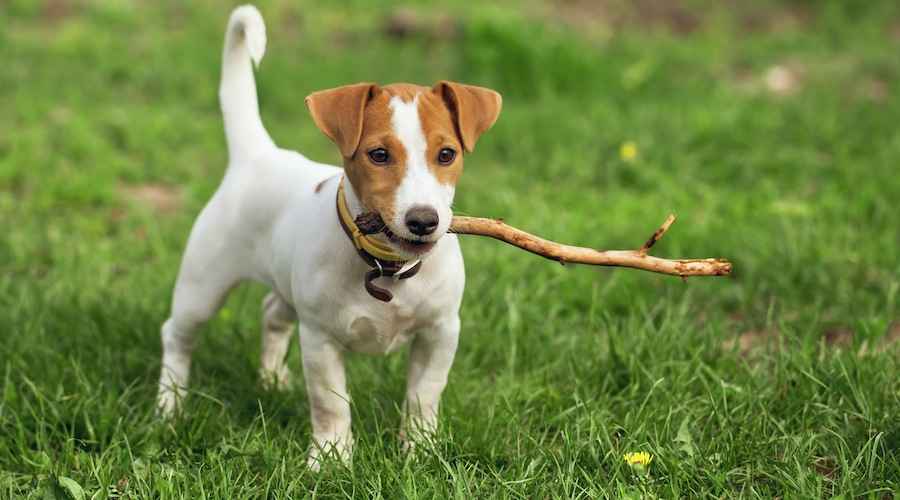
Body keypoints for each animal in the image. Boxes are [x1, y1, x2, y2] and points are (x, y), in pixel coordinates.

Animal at [158, 4, 502, 468]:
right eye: (379, 155)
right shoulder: (320, 338)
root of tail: (259, 154)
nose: (423, 220)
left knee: (271, 313)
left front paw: (419, 449)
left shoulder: (441, 331)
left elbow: (423, 396)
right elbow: (330, 402)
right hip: (203, 285)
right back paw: (169, 405)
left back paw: (270, 378)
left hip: (284, 288)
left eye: (446, 154)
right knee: (177, 335)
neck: (388, 267)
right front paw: (332, 457)